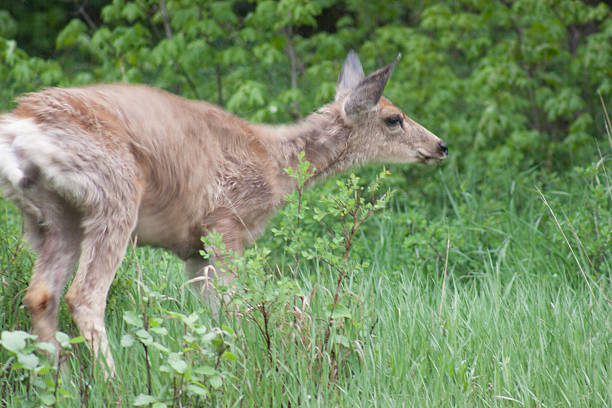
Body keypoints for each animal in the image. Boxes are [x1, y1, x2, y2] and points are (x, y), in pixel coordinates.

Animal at [0, 51, 448, 376]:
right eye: (394, 118)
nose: (440, 146)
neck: (277, 166)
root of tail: (21, 125)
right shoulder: (225, 222)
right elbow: (238, 306)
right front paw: (251, 365)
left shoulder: (194, 249)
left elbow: (214, 314)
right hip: (114, 194)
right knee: (84, 295)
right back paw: (114, 383)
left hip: (52, 216)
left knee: (41, 295)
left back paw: (58, 381)